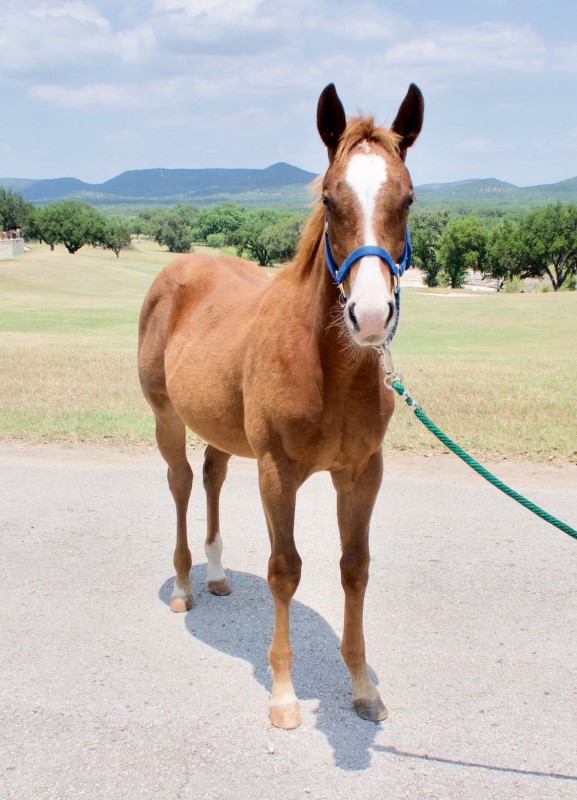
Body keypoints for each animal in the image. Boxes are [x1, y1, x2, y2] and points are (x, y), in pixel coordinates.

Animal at [136, 83, 424, 732]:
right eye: (329, 197)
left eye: (408, 198)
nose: (371, 316)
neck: (328, 368)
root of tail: (180, 267)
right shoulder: (277, 472)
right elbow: (284, 569)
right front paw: (285, 693)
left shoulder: (361, 473)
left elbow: (354, 567)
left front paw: (362, 686)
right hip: (167, 418)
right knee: (181, 482)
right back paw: (185, 584)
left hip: (221, 424)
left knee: (213, 474)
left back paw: (217, 575)